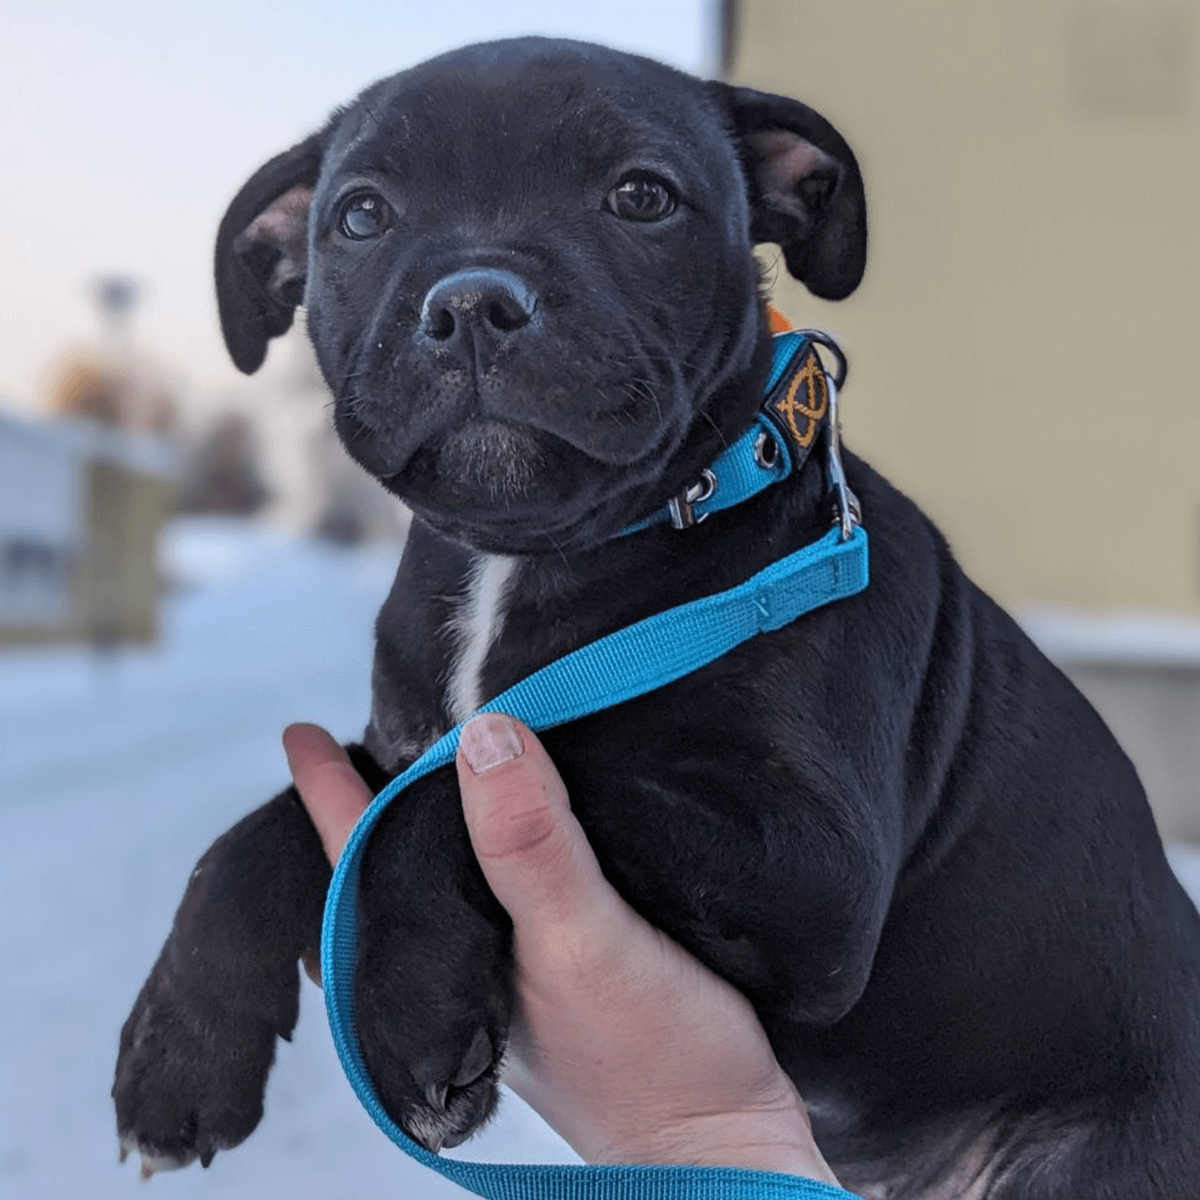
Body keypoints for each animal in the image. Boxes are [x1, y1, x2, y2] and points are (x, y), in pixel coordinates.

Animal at [112, 39, 1200, 1200]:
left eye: (642, 197)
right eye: (360, 216)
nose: (472, 300)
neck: (532, 557)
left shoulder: (813, 870)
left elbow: (497, 771)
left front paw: (410, 1010)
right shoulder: (392, 749)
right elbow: (259, 832)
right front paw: (176, 1055)